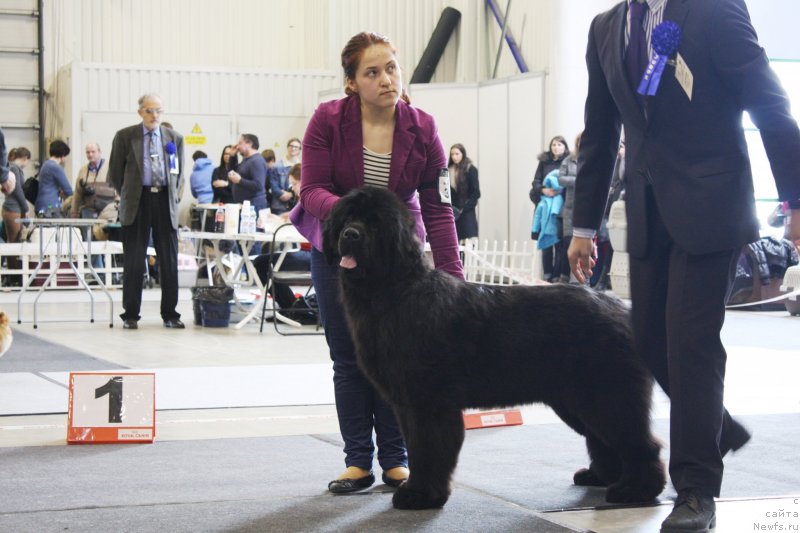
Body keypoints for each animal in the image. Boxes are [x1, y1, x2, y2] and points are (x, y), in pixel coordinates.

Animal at [322, 186, 664, 508]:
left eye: (374, 222)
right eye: (347, 218)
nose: (350, 234)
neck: (394, 291)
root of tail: (623, 310)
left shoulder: (427, 402)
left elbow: (427, 449)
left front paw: (420, 495)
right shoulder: (407, 404)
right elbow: (419, 449)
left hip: (606, 394)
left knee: (640, 442)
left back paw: (635, 490)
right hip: (578, 400)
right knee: (604, 440)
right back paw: (603, 477)